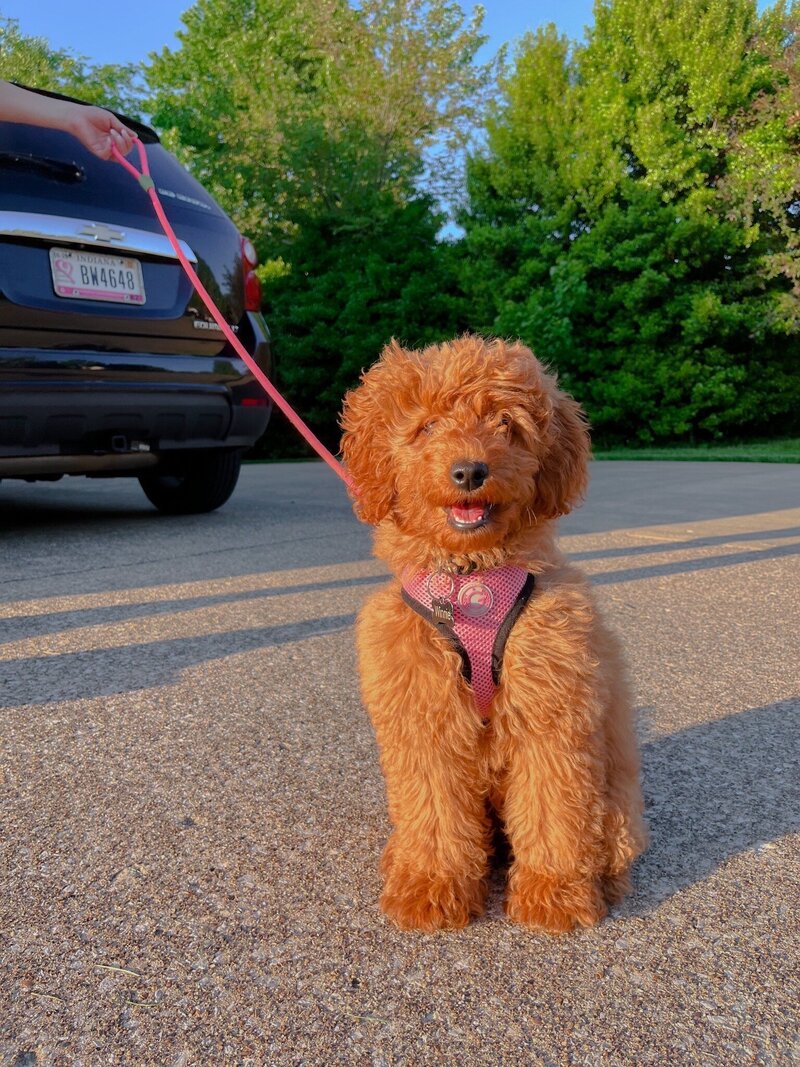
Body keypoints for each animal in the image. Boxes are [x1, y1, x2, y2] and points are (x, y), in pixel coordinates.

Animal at [341, 337, 648, 930]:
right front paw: (433, 887)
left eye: (505, 423)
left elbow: (554, 811)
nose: (468, 472)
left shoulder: (551, 715)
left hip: (618, 808)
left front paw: (554, 894)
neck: (469, 583)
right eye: (428, 426)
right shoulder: (424, 717)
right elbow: (435, 811)